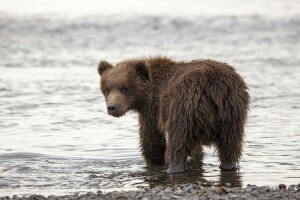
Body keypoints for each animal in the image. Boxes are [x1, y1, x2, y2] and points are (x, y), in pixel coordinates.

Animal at [97, 56, 250, 173]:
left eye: (125, 88)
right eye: (107, 89)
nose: (112, 107)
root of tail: (213, 87)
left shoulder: (154, 109)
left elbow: (152, 140)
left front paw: (155, 161)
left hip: (183, 107)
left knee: (178, 142)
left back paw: (173, 168)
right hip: (232, 112)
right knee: (230, 145)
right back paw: (229, 165)